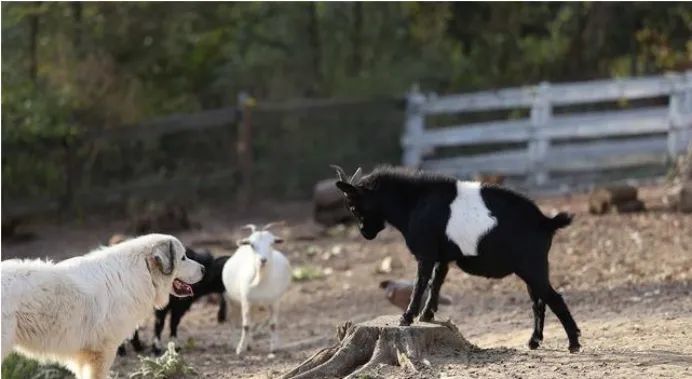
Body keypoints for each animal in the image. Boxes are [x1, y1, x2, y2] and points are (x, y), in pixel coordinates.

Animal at [223, 223, 290, 356]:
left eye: (272, 243)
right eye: (252, 245)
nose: (263, 260)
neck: (261, 279)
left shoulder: (275, 301)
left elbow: (273, 325)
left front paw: (274, 348)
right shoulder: (246, 301)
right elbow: (246, 326)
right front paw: (240, 349)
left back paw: (250, 345)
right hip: (235, 301)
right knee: (237, 321)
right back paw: (239, 344)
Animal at [332, 166, 580, 354]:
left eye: (353, 206)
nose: (365, 233)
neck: (413, 202)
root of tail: (545, 221)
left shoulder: (426, 253)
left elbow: (421, 283)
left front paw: (407, 318)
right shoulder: (443, 257)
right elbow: (436, 282)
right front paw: (427, 315)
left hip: (532, 266)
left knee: (554, 298)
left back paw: (573, 343)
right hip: (530, 270)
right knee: (538, 302)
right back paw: (534, 341)